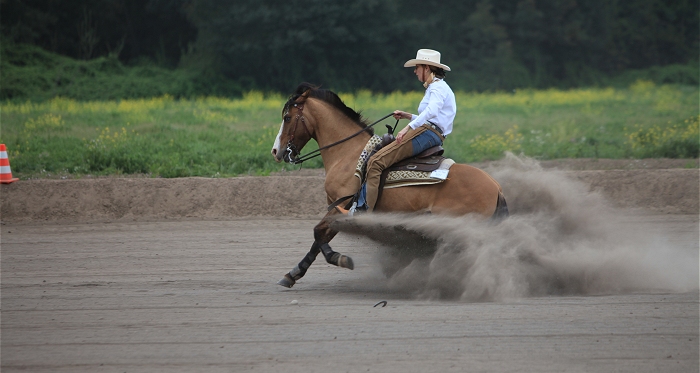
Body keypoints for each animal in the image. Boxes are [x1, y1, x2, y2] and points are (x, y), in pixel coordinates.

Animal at [270, 83, 506, 288]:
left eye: (287, 117)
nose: (276, 151)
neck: (348, 154)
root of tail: (496, 188)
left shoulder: (341, 206)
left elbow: (318, 233)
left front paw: (340, 258)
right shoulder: (338, 209)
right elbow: (319, 239)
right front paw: (292, 274)